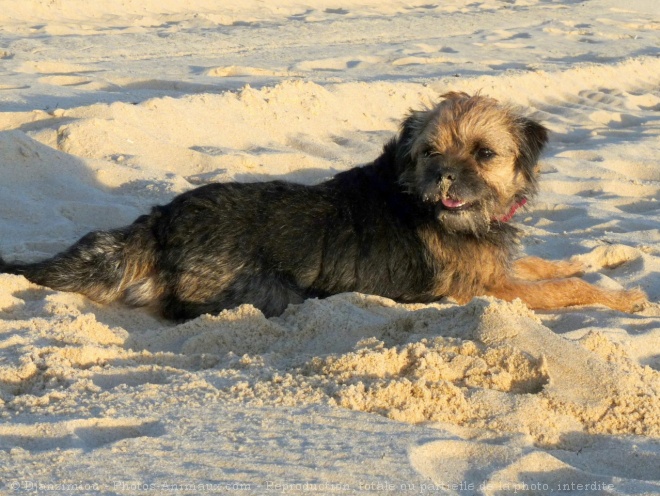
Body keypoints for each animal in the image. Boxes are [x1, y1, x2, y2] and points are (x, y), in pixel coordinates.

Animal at [0, 91, 648, 320]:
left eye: (484, 153)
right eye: (430, 151)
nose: (443, 179)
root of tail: (161, 221)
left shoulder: (500, 268)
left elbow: (552, 265)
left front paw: (604, 258)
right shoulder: (491, 289)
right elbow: (562, 287)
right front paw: (624, 296)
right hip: (267, 291)